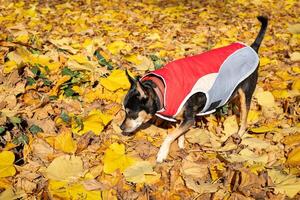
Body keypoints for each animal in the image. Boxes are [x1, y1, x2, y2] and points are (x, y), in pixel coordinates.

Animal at [120, 15, 268, 162]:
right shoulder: (181, 118)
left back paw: (238, 136)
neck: (161, 90)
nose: (121, 127)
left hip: (245, 94)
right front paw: (181, 146)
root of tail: (252, 48)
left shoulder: (189, 119)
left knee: (244, 119)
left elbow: (170, 135)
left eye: (130, 112)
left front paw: (162, 153)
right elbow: (179, 134)